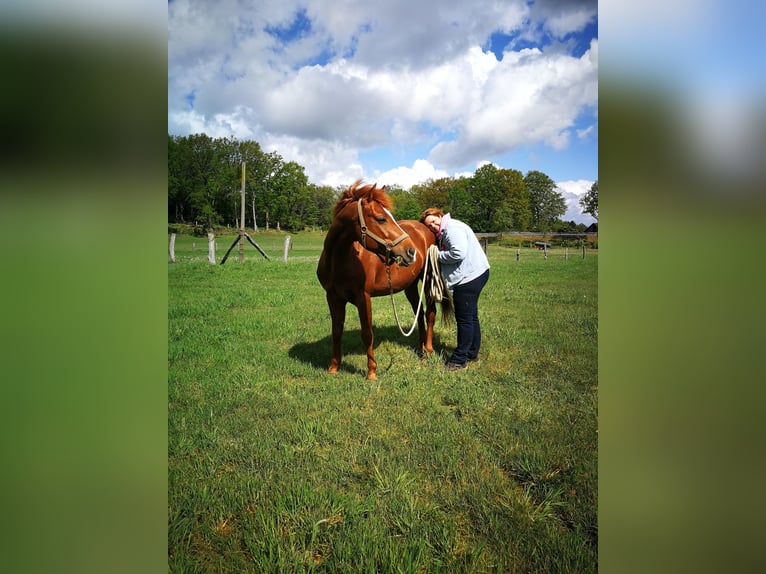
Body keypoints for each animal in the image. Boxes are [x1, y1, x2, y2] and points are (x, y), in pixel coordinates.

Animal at [316, 180, 452, 382]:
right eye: (381, 219)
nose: (411, 251)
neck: (340, 260)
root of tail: (426, 229)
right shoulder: (332, 297)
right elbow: (336, 331)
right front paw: (334, 367)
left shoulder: (363, 297)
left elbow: (367, 333)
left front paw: (371, 372)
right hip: (410, 286)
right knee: (419, 314)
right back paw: (420, 350)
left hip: (428, 280)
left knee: (430, 313)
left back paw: (427, 350)